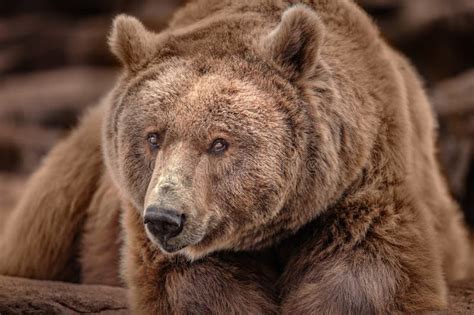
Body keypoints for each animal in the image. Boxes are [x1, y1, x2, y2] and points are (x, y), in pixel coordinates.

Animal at [0, 0, 474, 314]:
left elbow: (366, 276)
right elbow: (197, 288)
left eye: (219, 143)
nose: (165, 218)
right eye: (153, 137)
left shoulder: (361, 182)